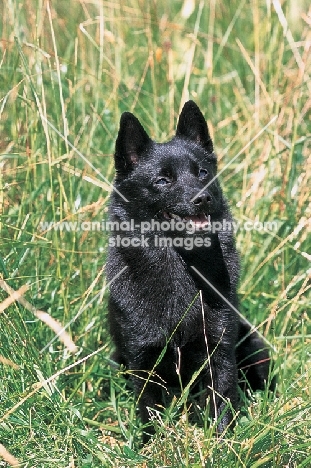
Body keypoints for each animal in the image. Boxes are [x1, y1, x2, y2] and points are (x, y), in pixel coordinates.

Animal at [106, 101, 274, 442]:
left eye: (202, 173)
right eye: (162, 180)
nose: (203, 197)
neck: (180, 265)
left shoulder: (219, 351)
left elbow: (222, 400)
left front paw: (222, 443)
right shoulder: (142, 357)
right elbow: (149, 409)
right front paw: (151, 446)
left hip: (254, 348)